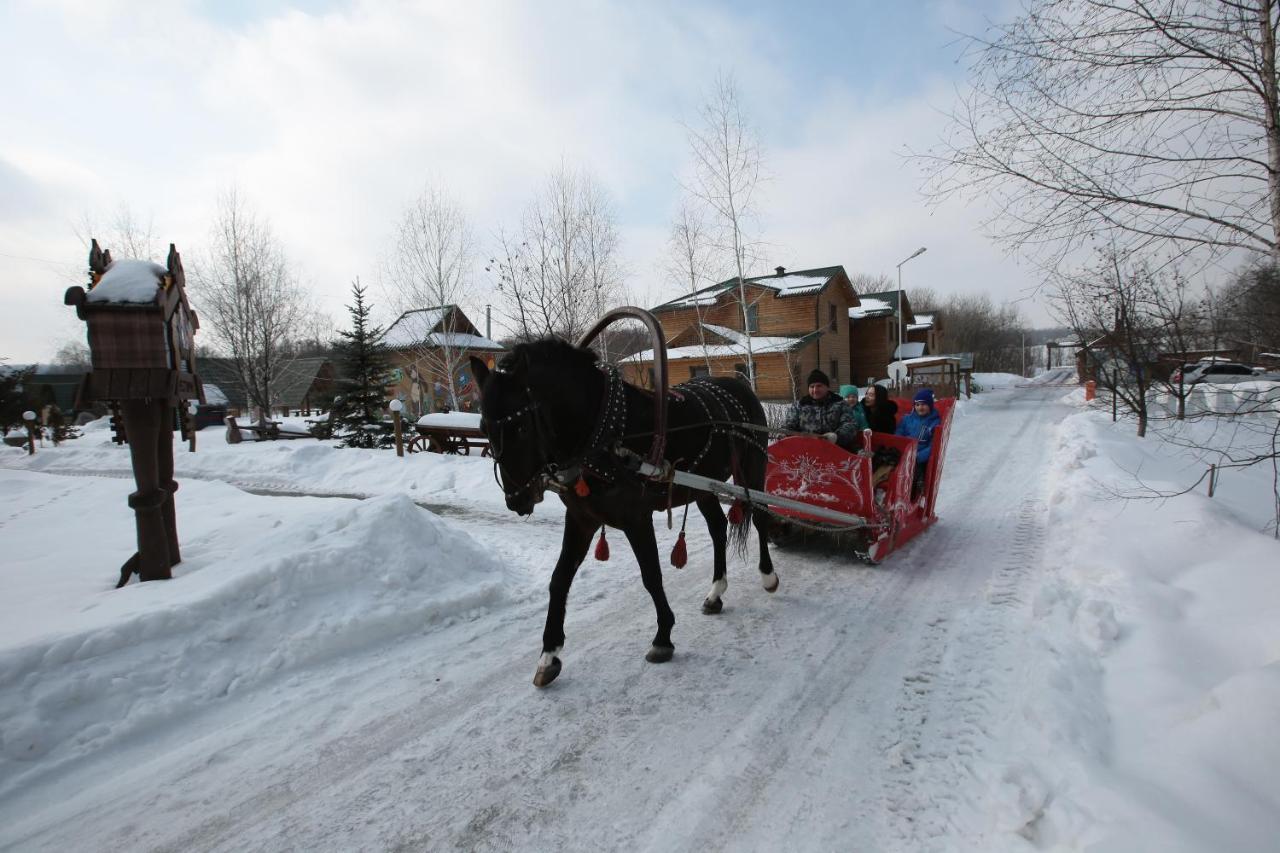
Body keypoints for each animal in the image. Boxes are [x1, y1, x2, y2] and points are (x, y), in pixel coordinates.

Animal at [468, 338, 773, 686]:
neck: (601, 436)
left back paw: (768, 575)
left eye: (519, 427)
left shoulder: (636, 518)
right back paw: (715, 592)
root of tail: (739, 383)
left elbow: (651, 575)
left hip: (753, 467)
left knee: (761, 517)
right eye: (483, 427)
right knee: (718, 528)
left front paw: (663, 637)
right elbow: (559, 580)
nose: (517, 500)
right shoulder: (581, 520)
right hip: (702, 487)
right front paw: (549, 654)